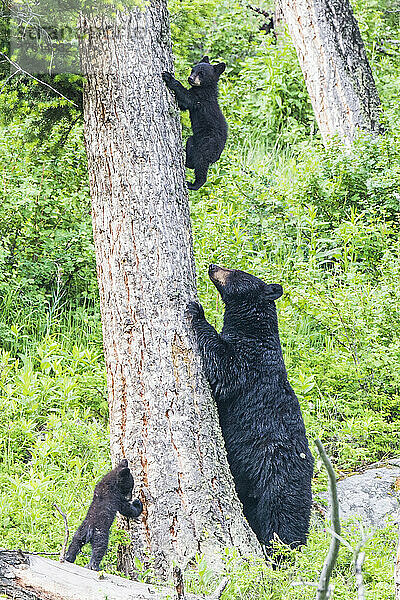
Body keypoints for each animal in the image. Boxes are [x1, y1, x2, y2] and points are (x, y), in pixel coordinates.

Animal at [161, 56, 227, 190]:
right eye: (193, 70)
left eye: (201, 73)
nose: (190, 78)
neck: (205, 88)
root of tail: (217, 155)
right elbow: (182, 104)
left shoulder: (199, 99)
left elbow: (187, 98)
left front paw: (169, 78)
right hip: (195, 142)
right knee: (190, 146)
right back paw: (186, 162)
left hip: (207, 146)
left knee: (201, 165)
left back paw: (193, 184)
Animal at [189, 266, 314, 552]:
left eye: (235, 271)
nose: (212, 266)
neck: (253, 331)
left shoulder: (250, 363)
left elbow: (224, 369)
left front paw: (197, 311)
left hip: (279, 481)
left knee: (283, 521)